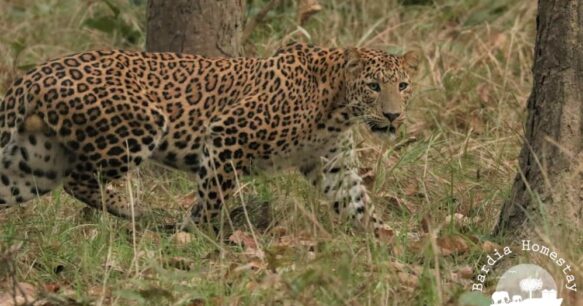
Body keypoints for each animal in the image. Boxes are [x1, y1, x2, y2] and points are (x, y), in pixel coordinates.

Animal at [0, 43, 420, 233]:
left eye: (402, 85)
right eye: (373, 86)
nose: (393, 115)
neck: (337, 109)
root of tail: (30, 76)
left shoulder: (333, 165)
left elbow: (358, 204)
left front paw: (387, 240)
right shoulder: (227, 134)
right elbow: (213, 194)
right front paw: (195, 234)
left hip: (33, 162)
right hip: (139, 124)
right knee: (81, 181)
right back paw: (140, 211)